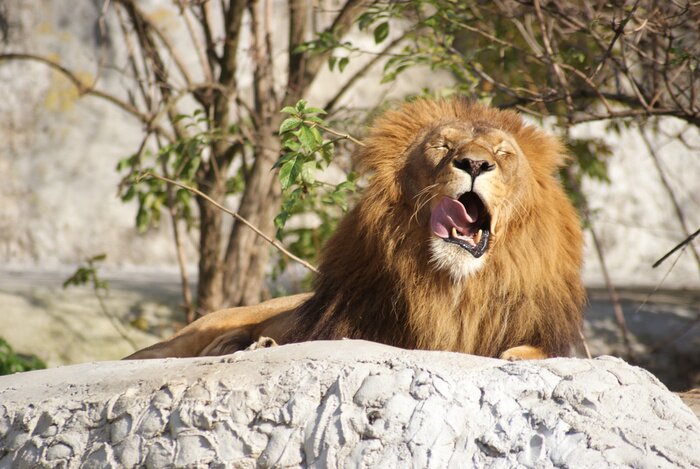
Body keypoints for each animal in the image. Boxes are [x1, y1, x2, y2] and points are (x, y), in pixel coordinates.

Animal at [127, 98, 585, 361]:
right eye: (442, 146)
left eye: (503, 153)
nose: (474, 163)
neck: (455, 287)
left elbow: (533, 351)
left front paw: (516, 354)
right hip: (182, 338)